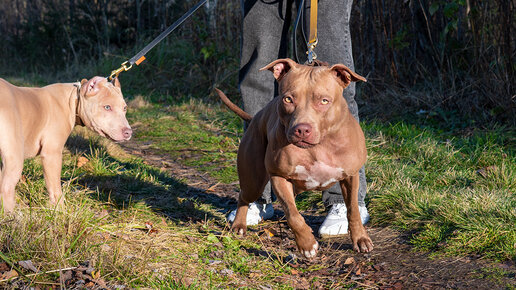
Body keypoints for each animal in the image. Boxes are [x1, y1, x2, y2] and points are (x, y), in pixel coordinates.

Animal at [1, 76, 133, 213]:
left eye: (125, 108)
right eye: (107, 107)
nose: (128, 132)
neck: (73, 99)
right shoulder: (52, 154)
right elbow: (55, 189)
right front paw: (61, 211)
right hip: (14, 155)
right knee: (6, 187)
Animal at [216, 57, 372, 258]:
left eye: (324, 101)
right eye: (288, 99)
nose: (302, 129)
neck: (318, 146)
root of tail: (256, 117)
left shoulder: (351, 176)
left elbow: (353, 210)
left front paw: (360, 239)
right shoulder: (279, 177)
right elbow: (293, 214)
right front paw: (307, 245)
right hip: (254, 180)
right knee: (244, 196)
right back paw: (239, 224)